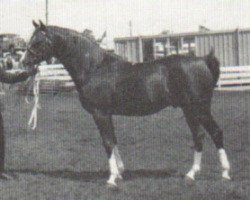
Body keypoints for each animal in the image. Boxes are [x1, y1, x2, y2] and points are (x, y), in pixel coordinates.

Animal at [22, 19, 230, 186]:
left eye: (38, 41)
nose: (24, 62)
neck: (94, 67)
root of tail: (203, 60)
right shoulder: (107, 114)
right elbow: (113, 140)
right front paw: (120, 172)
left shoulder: (100, 113)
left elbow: (107, 142)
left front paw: (112, 178)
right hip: (189, 110)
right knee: (199, 136)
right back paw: (191, 174)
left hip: (199, 109)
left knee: (215, 133)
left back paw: (224, 173)